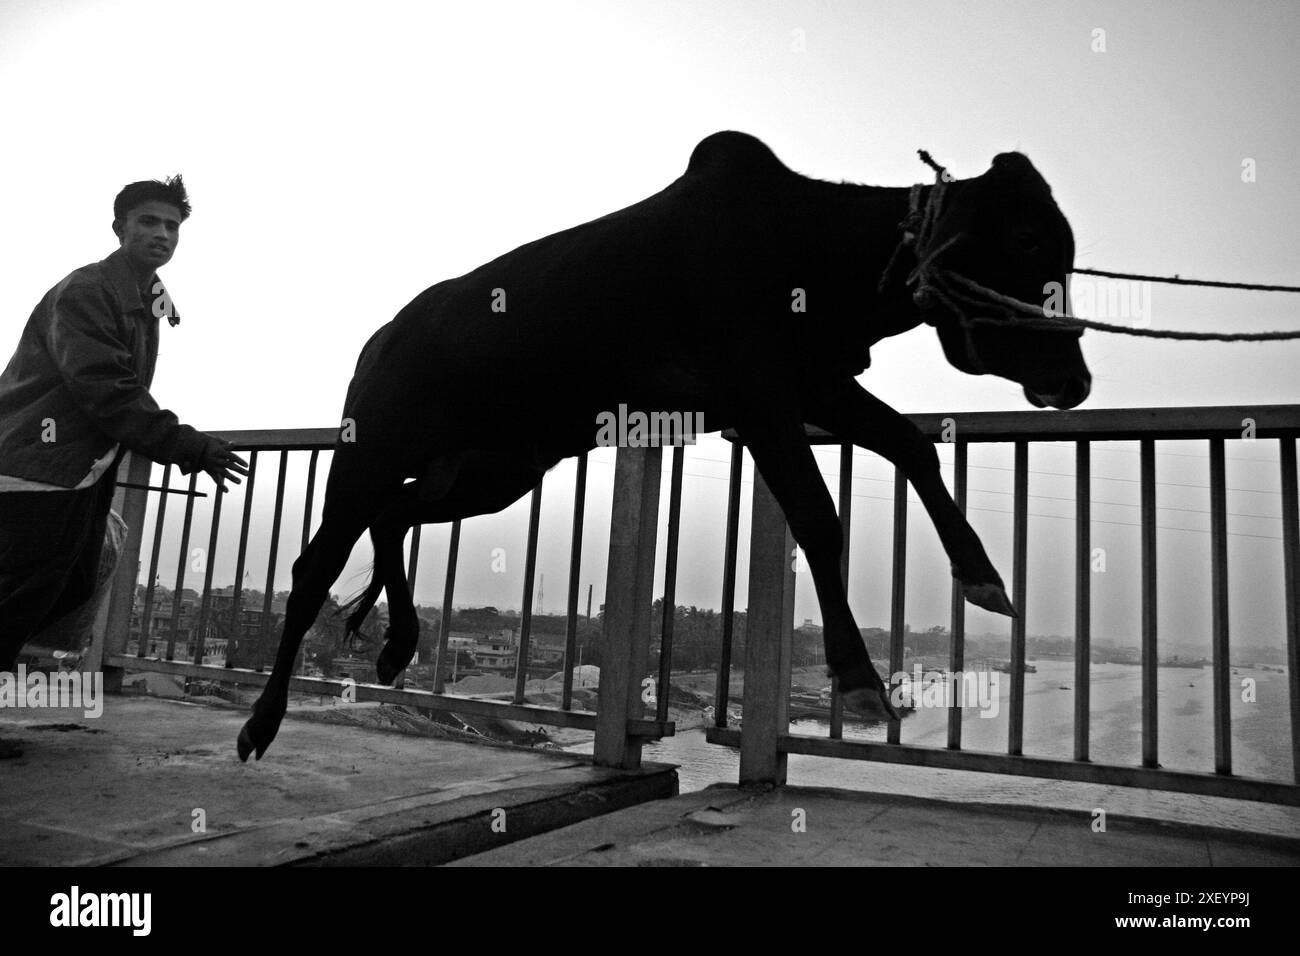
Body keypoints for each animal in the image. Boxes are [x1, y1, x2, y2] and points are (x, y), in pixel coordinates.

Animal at [236, 132, 1086, 764]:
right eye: (1025, 238)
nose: (1074, 379)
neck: (813, 248)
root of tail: (380, 340)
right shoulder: (760, 399)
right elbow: (819, 519)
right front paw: (857, 678)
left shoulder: (815, 385)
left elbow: (913, 444)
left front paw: (982, 577)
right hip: (370, 450)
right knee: (313, 568)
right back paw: (261, 723)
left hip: (493, 470)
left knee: (396, 518)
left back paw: (399, 643)